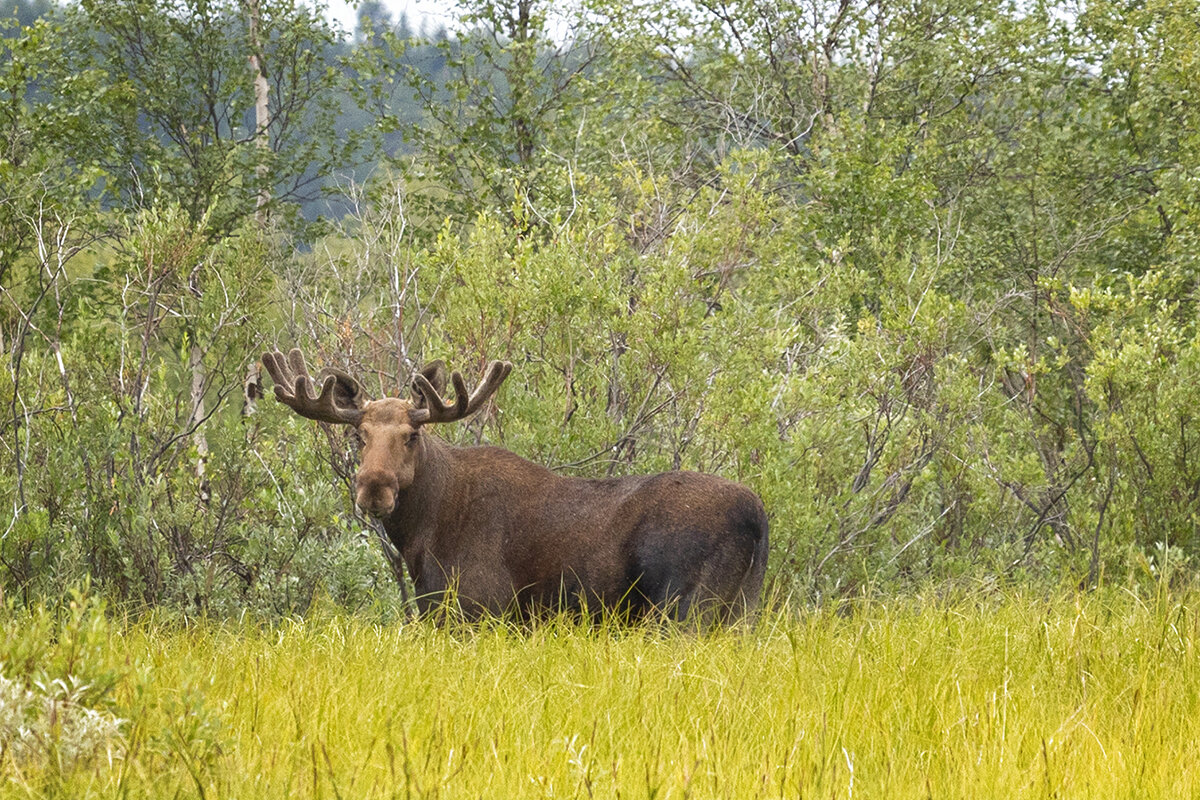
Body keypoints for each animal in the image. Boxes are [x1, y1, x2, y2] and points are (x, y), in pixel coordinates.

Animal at [262, 347, 768, 623]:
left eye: (412, 435)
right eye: (358, 435)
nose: (374, 489)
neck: (421, 537)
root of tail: (760, 517)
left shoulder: (480, 610)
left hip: (687, 607)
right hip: (741, 612)